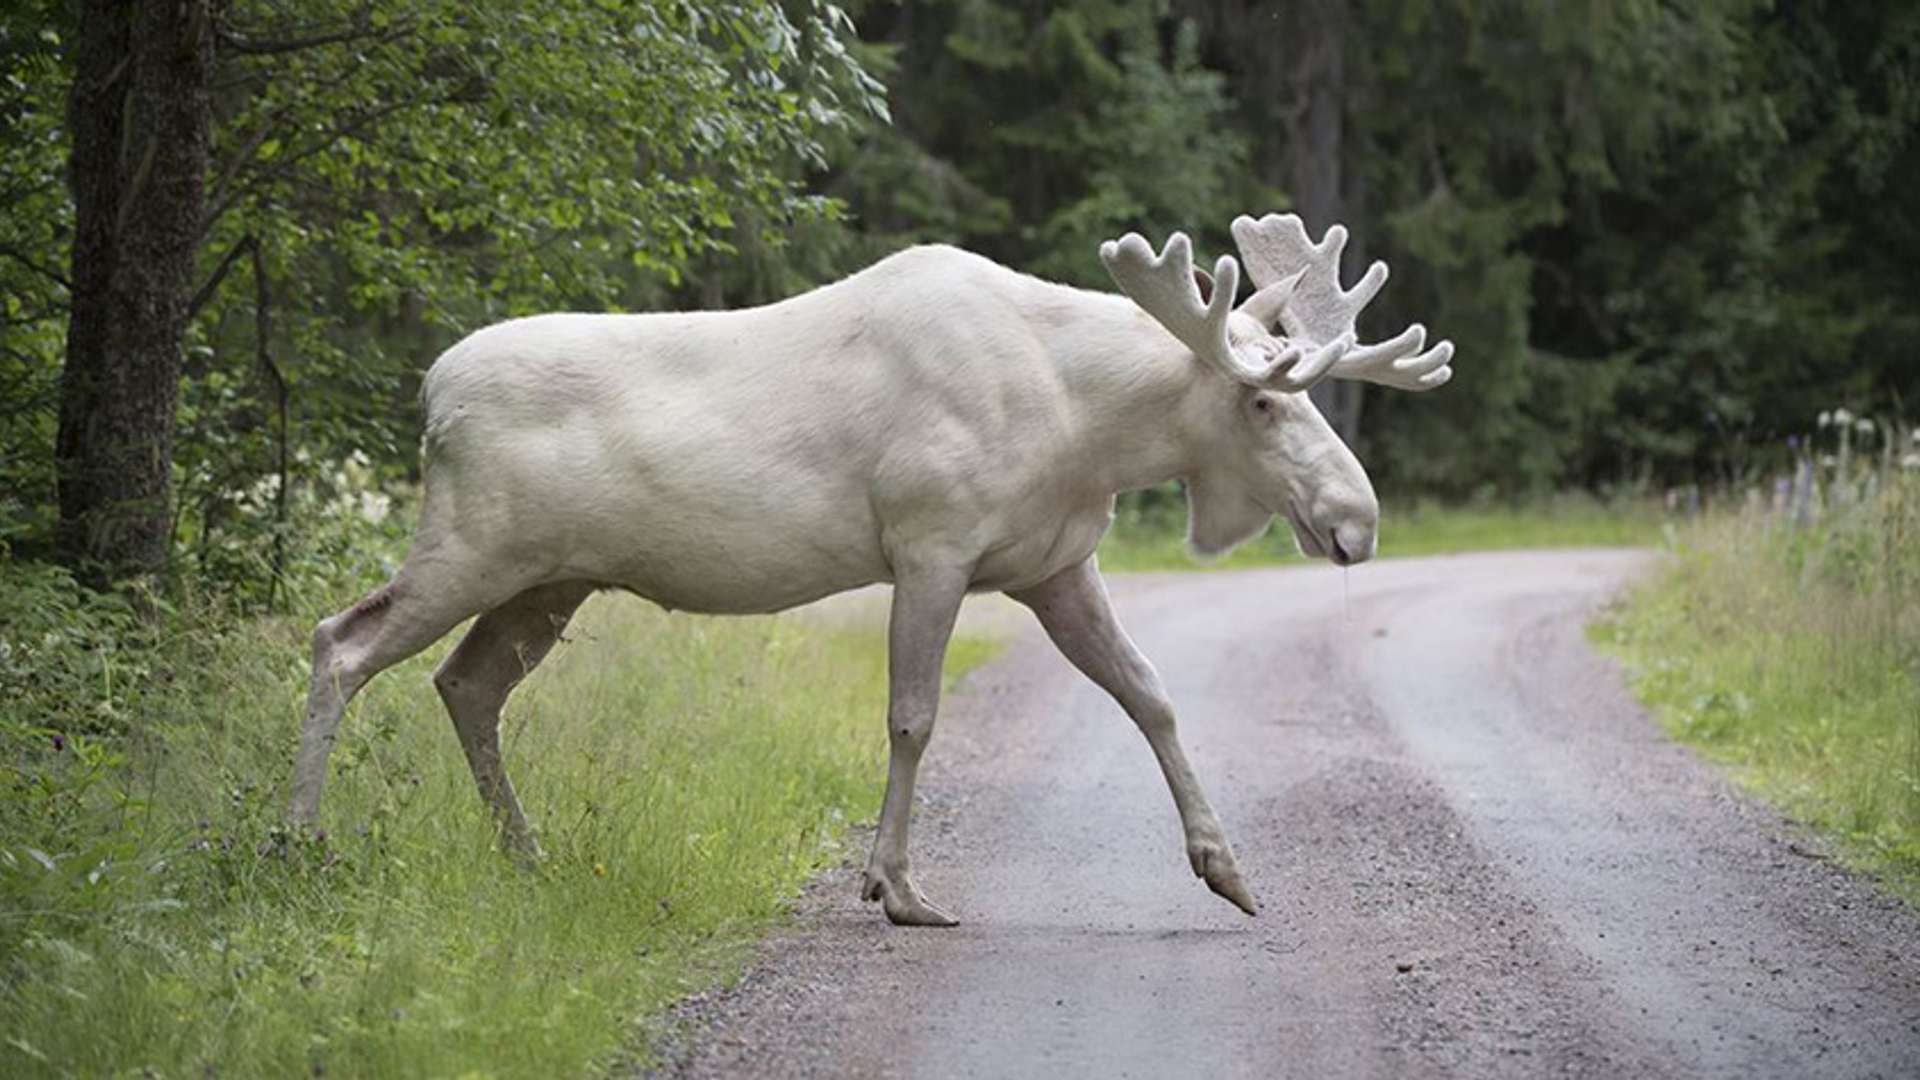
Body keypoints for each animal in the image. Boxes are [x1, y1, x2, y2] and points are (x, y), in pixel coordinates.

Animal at [291, 212, 1443, 926]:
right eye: (1262, 399)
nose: (1358, 520)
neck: (1088, 427)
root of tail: (430, 394)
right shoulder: (930, 543)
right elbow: (913, 717)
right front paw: (895, 888)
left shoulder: (1056, 564)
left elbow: (1152, 695)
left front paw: (1226, 868)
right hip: (474, 545)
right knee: (341, 641)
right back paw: (297, 844)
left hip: (550, 579)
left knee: (466, 682)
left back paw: (524, 855)